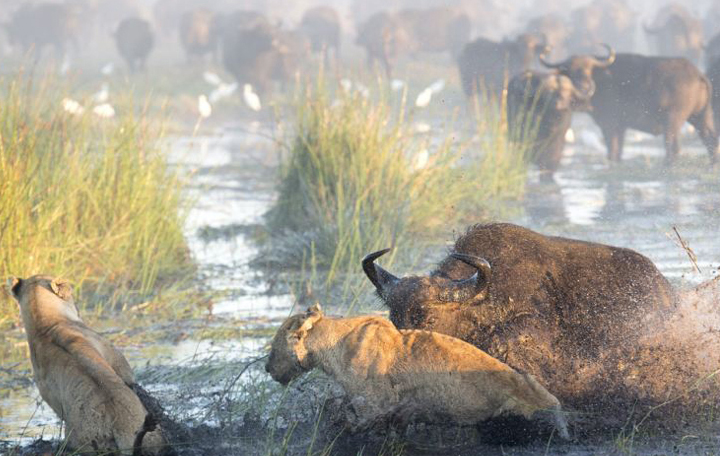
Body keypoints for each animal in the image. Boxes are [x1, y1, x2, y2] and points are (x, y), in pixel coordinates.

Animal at [544, 45, 716, 164]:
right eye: (568, 71)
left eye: (589, 69)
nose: (583, 86)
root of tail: (697, 74)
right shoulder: (621, 127)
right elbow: (618, 151)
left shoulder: (609, 124)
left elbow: (612, 150)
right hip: (700, 116)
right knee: (711, 139)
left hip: (673, 120)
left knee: (673, 147)